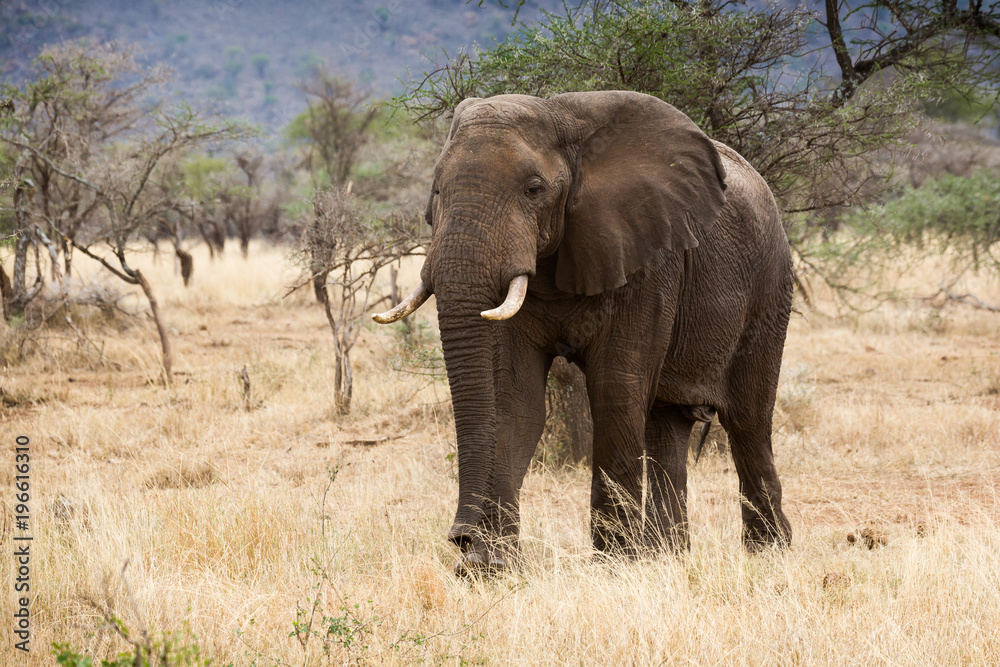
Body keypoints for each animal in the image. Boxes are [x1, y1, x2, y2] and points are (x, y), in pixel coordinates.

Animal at [372, 91, 792, 576]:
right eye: (436, 191)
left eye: (534, 189)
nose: (458, 538)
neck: (563, 119)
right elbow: (516, 401)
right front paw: (490, 566)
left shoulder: (648, 260)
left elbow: (615, 390)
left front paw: (616, 566)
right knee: (667, 425)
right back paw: (666, 556)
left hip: (770, 286)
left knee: (748, 419)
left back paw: (768, 552)